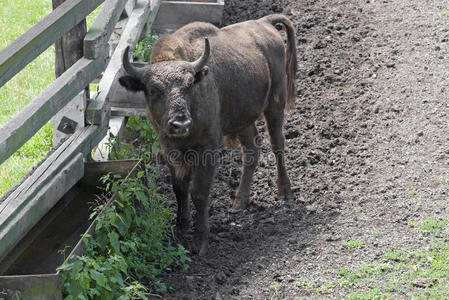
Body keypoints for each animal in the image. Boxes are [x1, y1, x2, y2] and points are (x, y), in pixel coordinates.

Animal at [118, 12, 298, 254]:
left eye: (188, 85)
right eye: (154, 89)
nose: (181, 123)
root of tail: (265, 23)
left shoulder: (207, 147)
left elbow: (199, 192)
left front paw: (200, 241)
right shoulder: (169, 148)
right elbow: (179, 187)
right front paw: (181, 228)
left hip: (275, 105)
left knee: (277, 144)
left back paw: (285, 193)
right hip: (242, 118)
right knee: (252, 149)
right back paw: (239, 202)